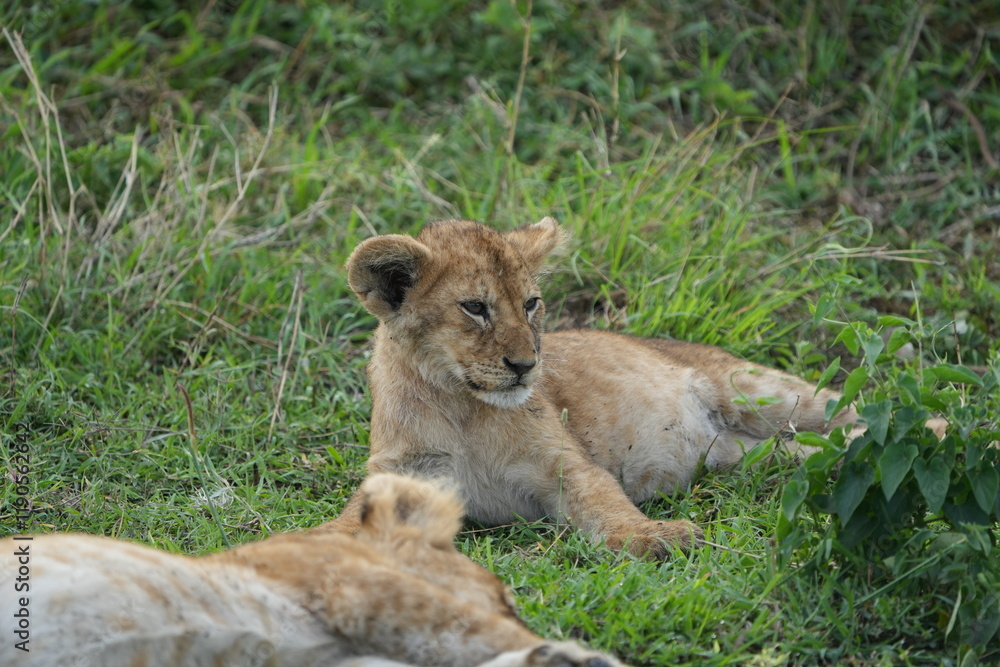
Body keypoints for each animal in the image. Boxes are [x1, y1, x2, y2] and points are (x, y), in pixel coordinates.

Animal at [326, 217, 917, 559]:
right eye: (474, 307)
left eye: (530, 304)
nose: (526, 365)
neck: (461, 404)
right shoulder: (407, 473)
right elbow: (349, 522)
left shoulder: (562, 464)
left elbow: (602, 501)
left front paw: (655, 538)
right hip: (756, 455)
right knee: (827, 452)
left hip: (757, 389)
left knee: (860, 411)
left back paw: (928, 434)